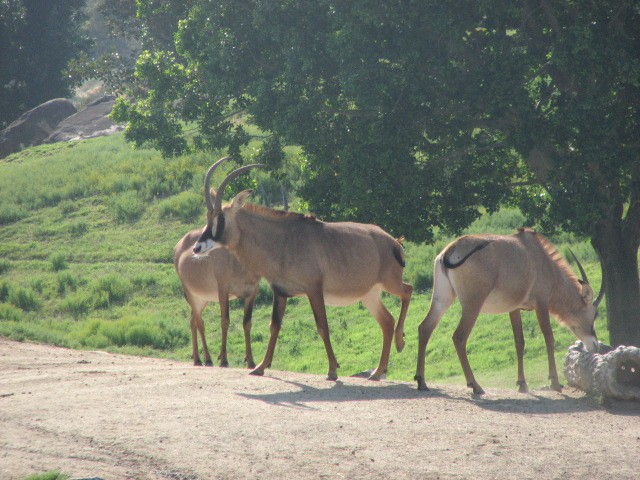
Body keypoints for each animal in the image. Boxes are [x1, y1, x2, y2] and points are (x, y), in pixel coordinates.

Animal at [174, 222, 260, 368]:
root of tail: (178, 246)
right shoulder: (223, 290)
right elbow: (225, 321)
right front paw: (223, 360)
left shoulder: (252, 293)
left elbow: (247, 323)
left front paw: (250, 361)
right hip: (191, 293)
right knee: (199, 322)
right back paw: (207, 359)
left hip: (202, 298)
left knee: (192, 320)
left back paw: (197, 358)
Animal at [193, 158, 413, 381]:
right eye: (207, 217)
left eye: (221, 218)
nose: (197, 248)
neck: (282, 240)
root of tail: (392, 241)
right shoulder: (280, 292)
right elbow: (274, 326)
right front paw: (261, 366)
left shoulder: (314, 289)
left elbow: (322, 326)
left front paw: (332, 370)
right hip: (370, 295)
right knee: (387, 321)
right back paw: (377, 371)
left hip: (390, 282)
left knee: (407, 290)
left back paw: (400, 342)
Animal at [414, 227, 604, 395]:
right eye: (595, 314)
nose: (595, 345)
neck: (543, 260)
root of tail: (449, 250)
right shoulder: (541, 304)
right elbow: (549, 338)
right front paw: (555, 383)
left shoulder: (514, 308)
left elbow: (519, 342)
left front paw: (522, 384)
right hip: (472, 304)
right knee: (459, 337)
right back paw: (475, 385)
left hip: (442, 298)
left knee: (425, 327)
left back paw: (421, 381)